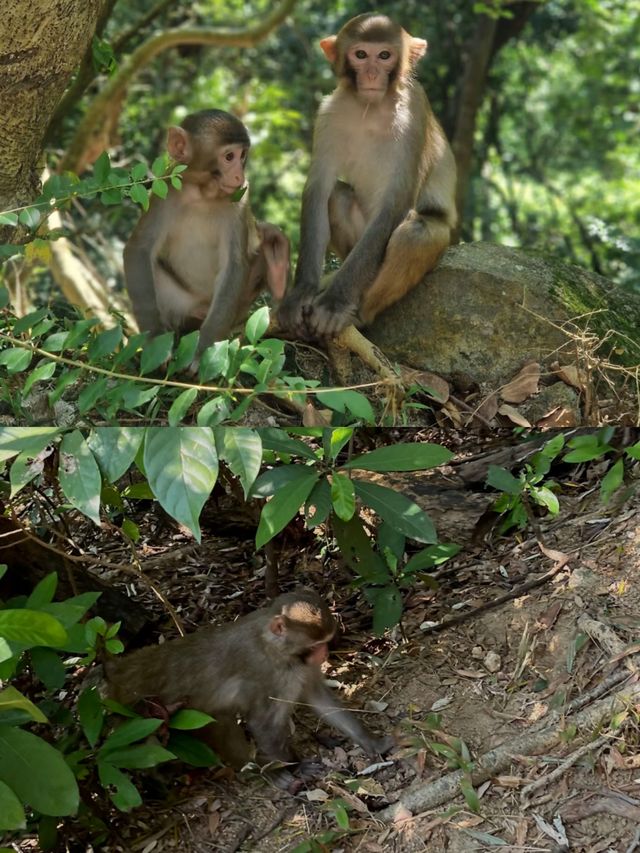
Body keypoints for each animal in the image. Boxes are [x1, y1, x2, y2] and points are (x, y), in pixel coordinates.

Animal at [105, 588, 390, 776]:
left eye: (326, 641)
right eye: (315, 644)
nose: (324, 654)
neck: (275, 646)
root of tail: (122, 673)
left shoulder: (301, 668)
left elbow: (319, 699)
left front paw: (369, 740)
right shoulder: (273, 676)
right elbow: (262, 723)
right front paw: (296, 767)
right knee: (221, 720)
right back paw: (266, 772)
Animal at [124, 108, 288, 362]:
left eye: (242, 156)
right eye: (229, 157)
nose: (239, 176)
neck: (202, 194)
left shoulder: (239, 200)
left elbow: (234, 264)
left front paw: (205, 351)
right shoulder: (166, 192)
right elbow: (139, 249)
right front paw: (153, 341)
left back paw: (277, 264)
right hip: (182, 302)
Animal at [278, 12, 458, 340]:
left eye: (384, 56)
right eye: (361, 55)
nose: (372, 74)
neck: (372, 107)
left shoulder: (414, 111)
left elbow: (396, 202)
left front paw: (334, 304)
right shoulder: (329, 113)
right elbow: (319, 190)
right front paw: (301, 294)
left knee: (417, 232)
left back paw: (358, 314)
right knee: (337, 196)